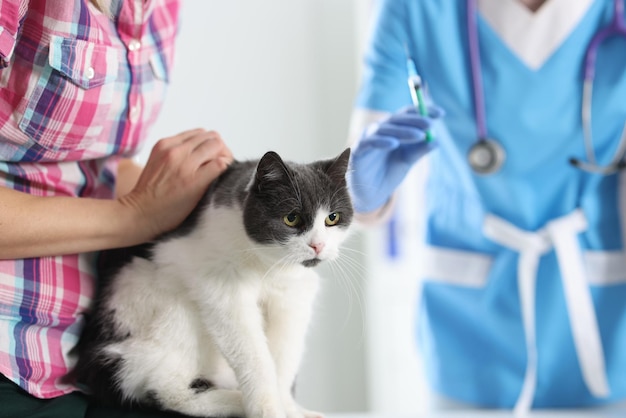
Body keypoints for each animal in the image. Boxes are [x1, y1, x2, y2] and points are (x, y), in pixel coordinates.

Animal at [70, 148, 354, 418]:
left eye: (332, 218)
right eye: (291, 218)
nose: (318, 246)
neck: (266, 266)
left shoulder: (292, 298)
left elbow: (285, 357)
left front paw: (288, 407)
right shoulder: (222, 288)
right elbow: (253, 356)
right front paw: (269, 410)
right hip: (158, 305)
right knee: (166, 388)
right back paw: (235, 400)